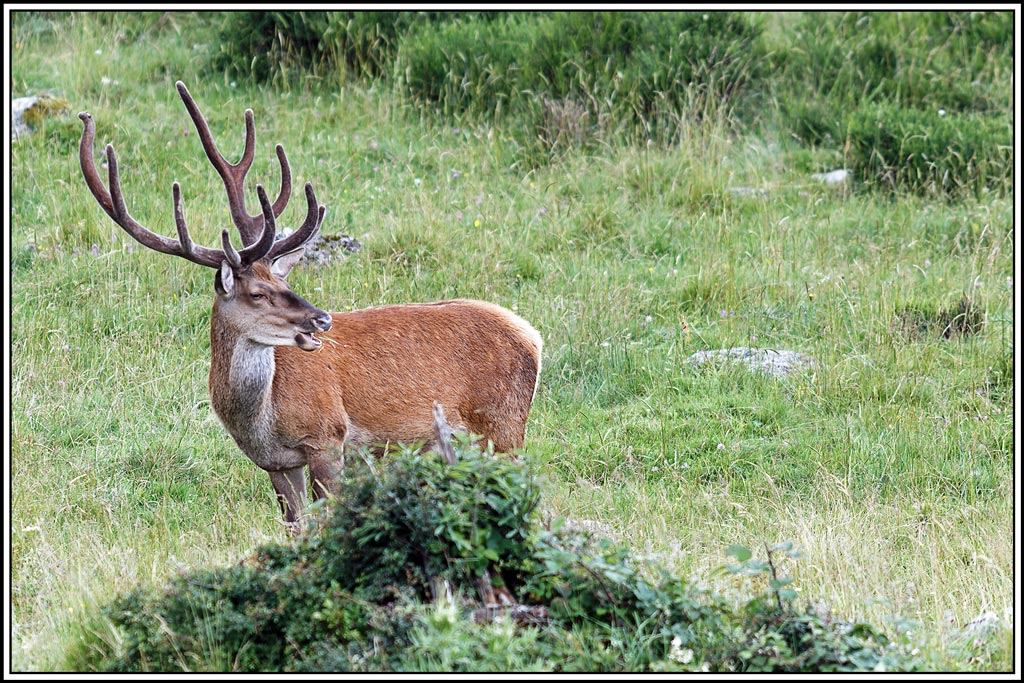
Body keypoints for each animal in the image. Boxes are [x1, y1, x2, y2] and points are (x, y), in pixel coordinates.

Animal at [78, 81, 543, 530]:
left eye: (282, 281)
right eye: (258, 293)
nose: (322, 319)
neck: (260, 420)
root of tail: (532, 336)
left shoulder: (328, 439)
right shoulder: (277, 464)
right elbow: (296, 527)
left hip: (501, 426)